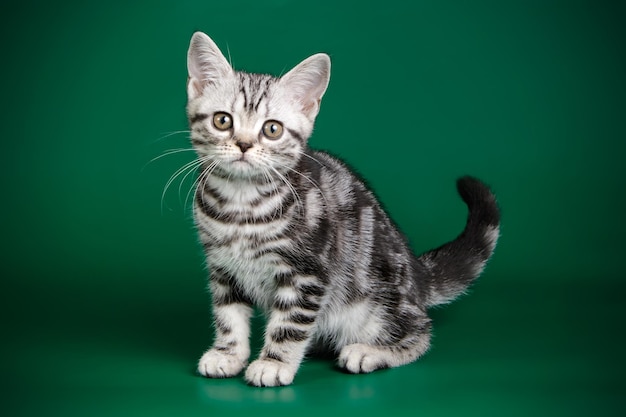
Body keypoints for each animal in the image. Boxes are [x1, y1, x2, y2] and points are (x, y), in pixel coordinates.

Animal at [184, 32, 498, 386]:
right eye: (222, 120)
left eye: (272, 129)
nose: (244, 144)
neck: (241, 205)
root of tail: (417, 278)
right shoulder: (223, 268)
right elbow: (228, 315)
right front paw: (228, 354)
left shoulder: (307, 273)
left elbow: (289, 323)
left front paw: (273, 363)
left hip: (373, 304)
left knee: (420, 330)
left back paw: (369, 352)